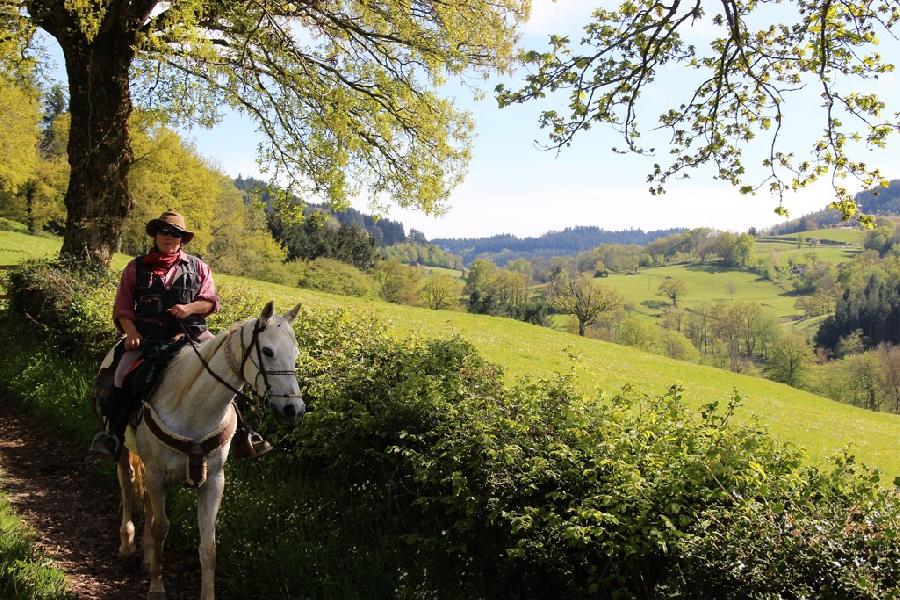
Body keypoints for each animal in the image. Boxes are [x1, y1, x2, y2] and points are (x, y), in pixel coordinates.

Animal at [102, 302, 306, 600]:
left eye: (295, 353)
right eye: (268, 351)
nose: (294, 410)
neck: (194, 409)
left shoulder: (213, 481)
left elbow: (208, 544)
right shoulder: (156, 474)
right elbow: (161, 527)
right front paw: (156, 587)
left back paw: (147, 555)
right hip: (124, 453)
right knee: (128, 486)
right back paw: (127, 545)